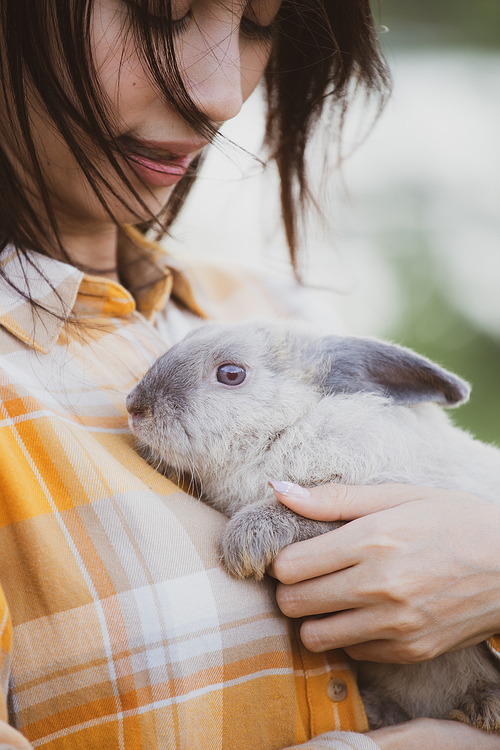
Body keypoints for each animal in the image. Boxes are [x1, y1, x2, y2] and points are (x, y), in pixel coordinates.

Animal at [126, 318, 500, 736]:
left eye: (231, 374)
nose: (135, 407)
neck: (289, 426)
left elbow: (303, 514)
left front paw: (243, 546)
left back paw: (484, 707)